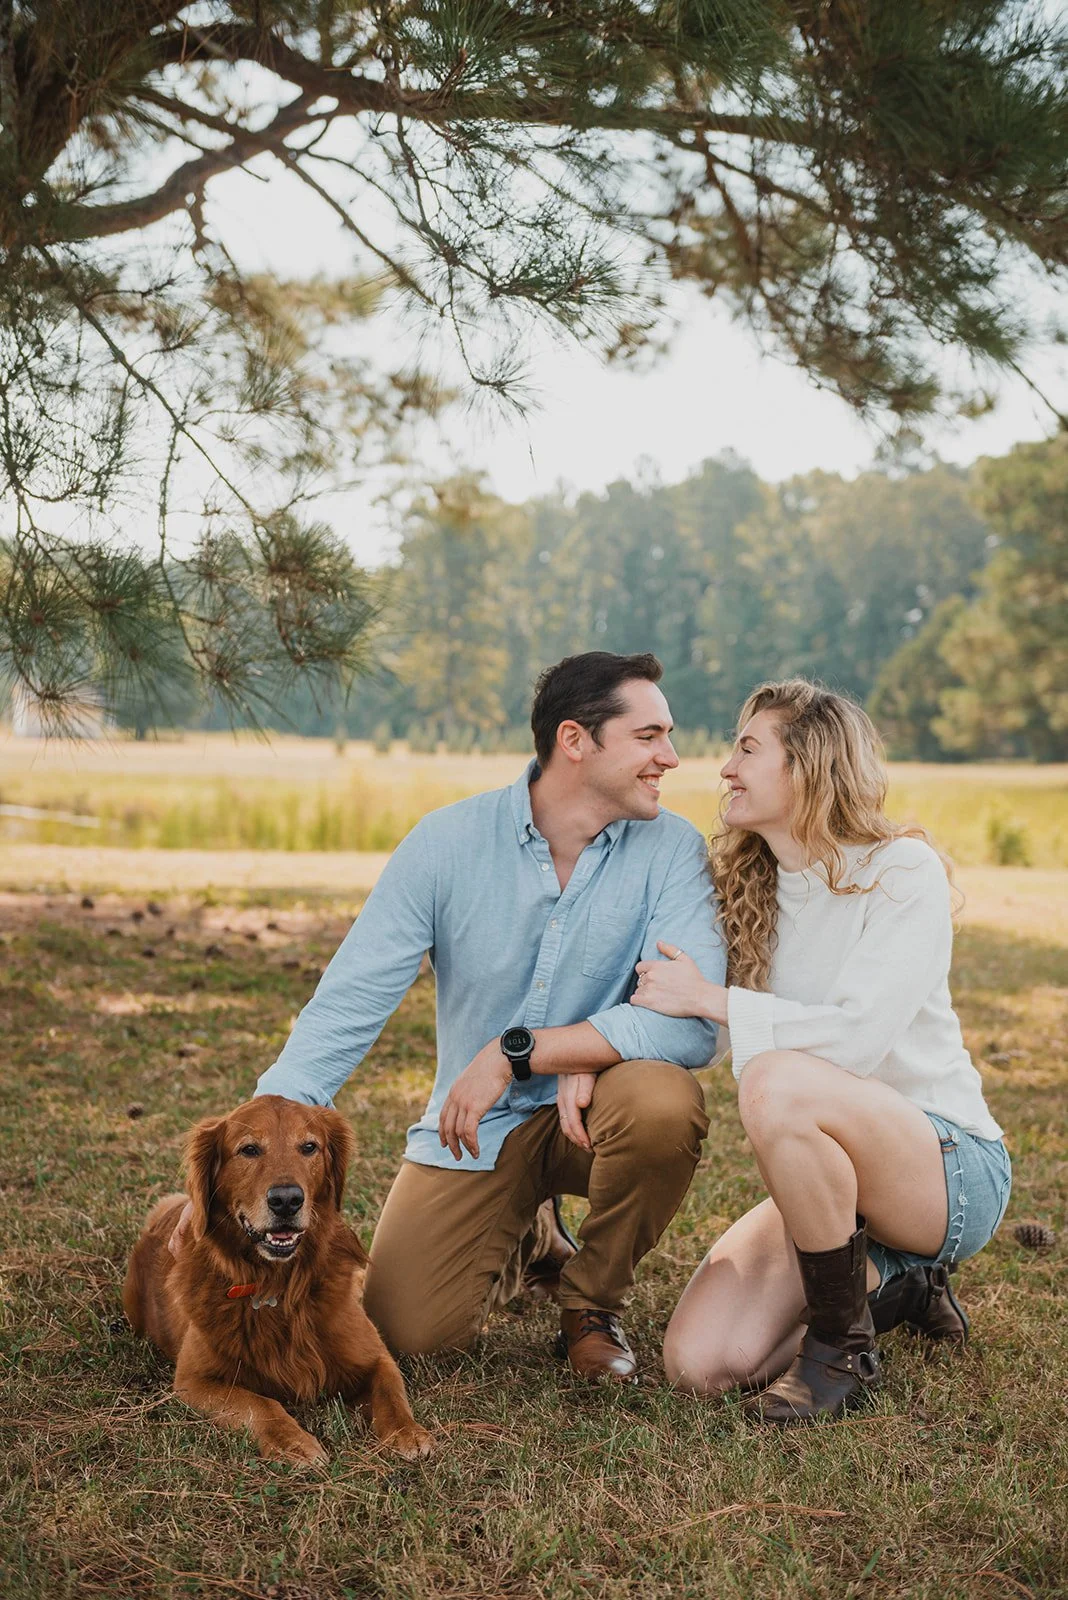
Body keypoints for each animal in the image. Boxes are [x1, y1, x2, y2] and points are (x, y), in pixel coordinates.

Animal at [123, 1094, 434, 1467]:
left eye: (309, 1146)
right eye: (249, 1149)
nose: (286, 1200)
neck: (279, 1285)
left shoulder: (375, 1355)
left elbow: (390, 1389)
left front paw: (407, 1432)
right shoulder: (193, 1381)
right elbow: (259, 1403)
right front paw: (292, 1442)